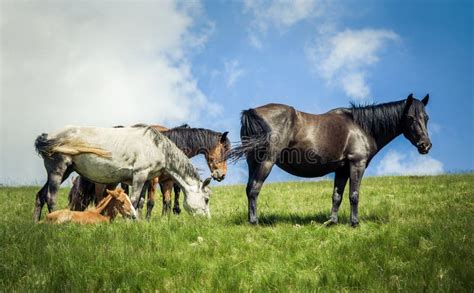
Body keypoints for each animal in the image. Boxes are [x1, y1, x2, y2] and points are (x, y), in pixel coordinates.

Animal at [33, 124, 211, 221]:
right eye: (206, 199)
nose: (207, 220)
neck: (156, 147)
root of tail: (47, 136)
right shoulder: (139, 175)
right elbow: (133, 200)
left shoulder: (145, 179)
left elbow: (140, 202)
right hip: (58, 169)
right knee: (51, 197)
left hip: (65, 171)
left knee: (40, 195)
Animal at [230, 93, 434, 226]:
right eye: (410, 117)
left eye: (426, 117)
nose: (425, 145)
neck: (361, 127)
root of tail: (253, 111)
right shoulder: (357, 164)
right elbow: (354, 195)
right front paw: (354, 223)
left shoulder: (341, 169)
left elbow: (337, 196)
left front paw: (332, 221)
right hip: (266, 162)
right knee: (255, 189)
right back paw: (255, 222)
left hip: (253, 162)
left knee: (249, 189)